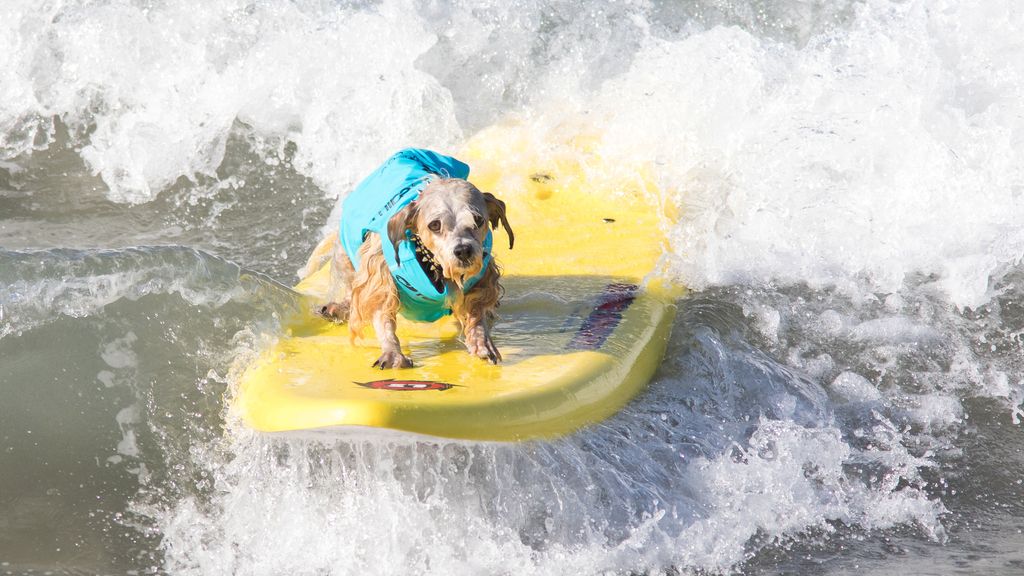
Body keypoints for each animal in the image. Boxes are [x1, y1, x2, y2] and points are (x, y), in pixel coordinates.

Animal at [301, 147, 512, 366]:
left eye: (478, 220)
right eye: (435, 225)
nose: (463, 250)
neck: (435, 269)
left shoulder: (481, 277)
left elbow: (476, 310)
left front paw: (481, 340)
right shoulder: (379, 274)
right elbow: (381, 313)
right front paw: (392, 353)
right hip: (345, 258)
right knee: (353, 289)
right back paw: (339, 308)